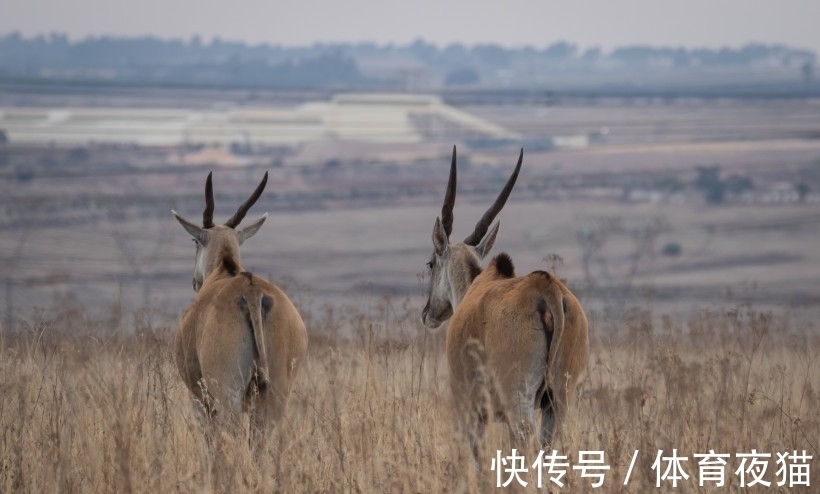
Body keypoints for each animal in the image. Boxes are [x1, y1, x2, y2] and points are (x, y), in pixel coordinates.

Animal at [171, 172, 310, 430]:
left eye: (194, 242)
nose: (194, 281)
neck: (226, 269)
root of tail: (252, 293)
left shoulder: (200, 401)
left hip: (227, 397)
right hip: (275, 396)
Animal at [422, 148, 588, 460]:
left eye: (430, 263)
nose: (428, 313)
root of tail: (547, 288)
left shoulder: (470, 409)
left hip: (518, 401)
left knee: (525, 439)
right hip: (558, 400)